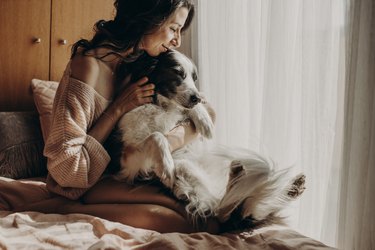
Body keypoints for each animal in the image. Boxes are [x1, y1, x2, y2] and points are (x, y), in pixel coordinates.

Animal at [108, 49, 306, 230]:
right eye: (178, 73)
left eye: (194, 78)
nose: (196, 98)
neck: (160, 105)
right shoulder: (128, 160)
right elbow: (156, 136)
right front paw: (165, 166)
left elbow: (185, 114)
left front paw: (204, 120)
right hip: (184, 168)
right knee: (220, 210)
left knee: (225, 206)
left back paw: (287, 187)